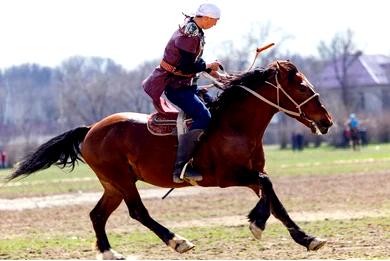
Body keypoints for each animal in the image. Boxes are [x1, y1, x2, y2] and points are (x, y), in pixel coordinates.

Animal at [6, 60, 332, 256]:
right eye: (301, 86)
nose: (327, 120)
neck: (234, 125)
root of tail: (91, 129)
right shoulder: (228, 177)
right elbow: (267, 186)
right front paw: (256, 223)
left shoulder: (250, 176)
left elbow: (274, 199)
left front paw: (306, 238)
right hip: (123, 181)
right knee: (138, 212)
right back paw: (177, 241)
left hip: (113, 184)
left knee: (97, 215)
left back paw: (110, 252)